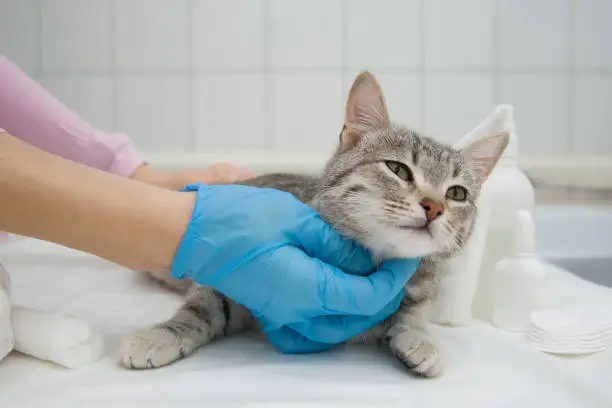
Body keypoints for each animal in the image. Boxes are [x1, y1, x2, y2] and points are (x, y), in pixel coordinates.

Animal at [118, 69, 506, 376]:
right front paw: (160, 335)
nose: (434, 208)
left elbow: (410, 316)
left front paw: (419, 338)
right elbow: (199, 308)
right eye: (398, 169)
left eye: (456, 193)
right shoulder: (232, 280)